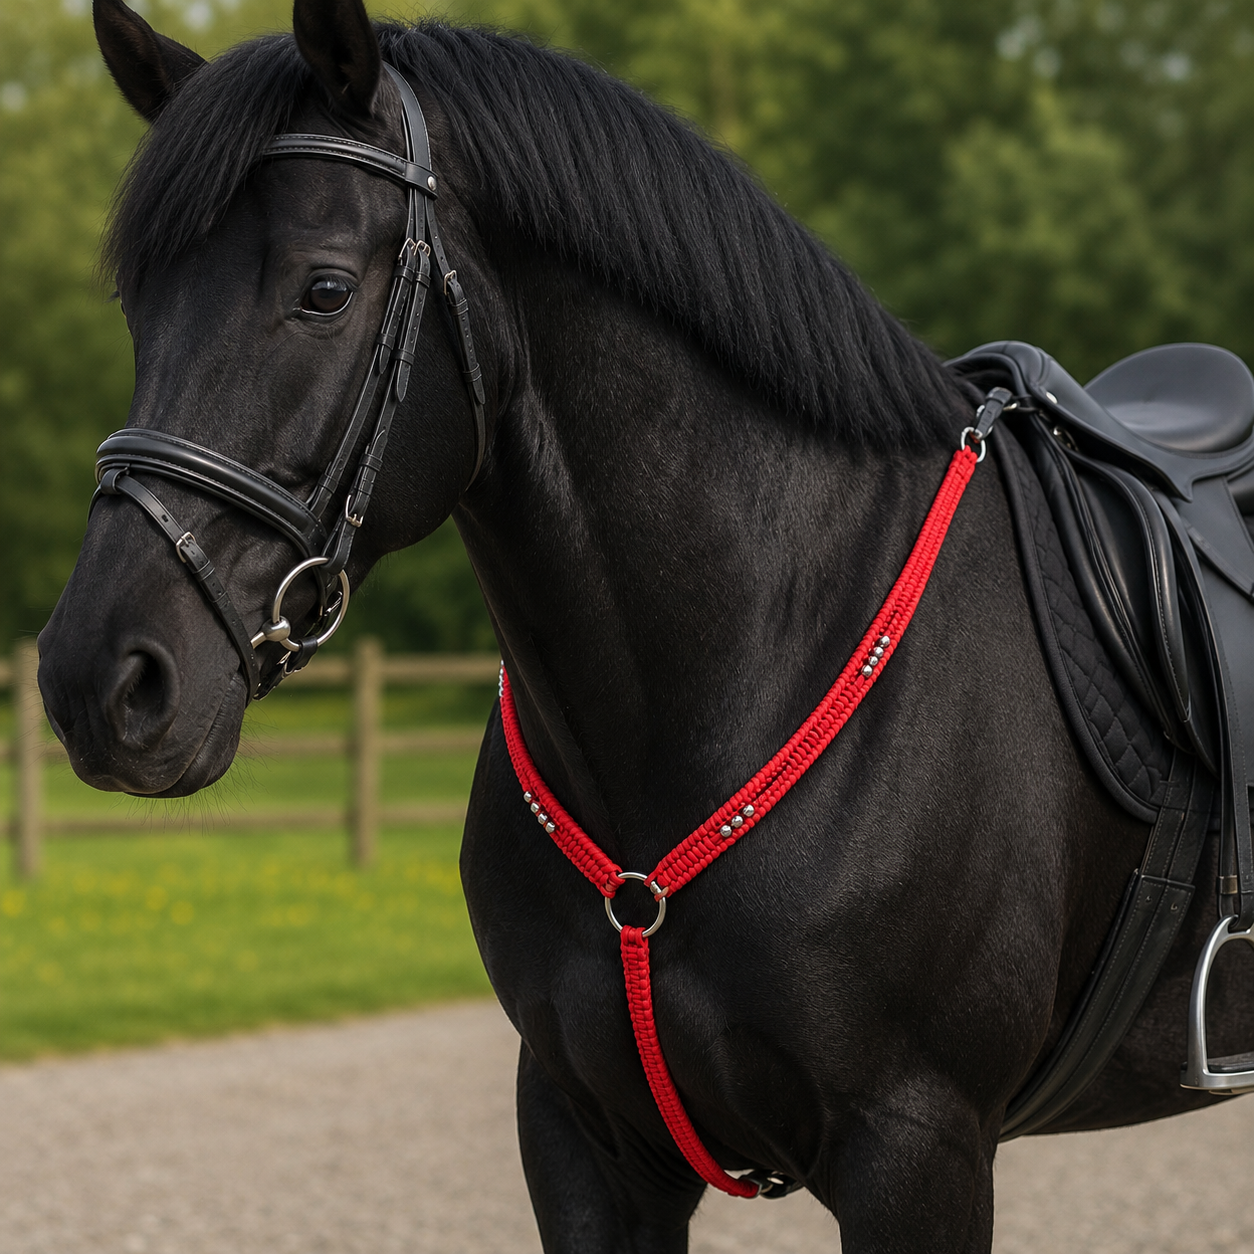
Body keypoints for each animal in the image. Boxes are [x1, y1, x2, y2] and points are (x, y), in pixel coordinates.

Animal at [37, 0, 1254, 1248]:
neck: (760, 646)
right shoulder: (586, 1138)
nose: (102, 680)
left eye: (323, 290)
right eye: (138, 304)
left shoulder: (919, 1152)